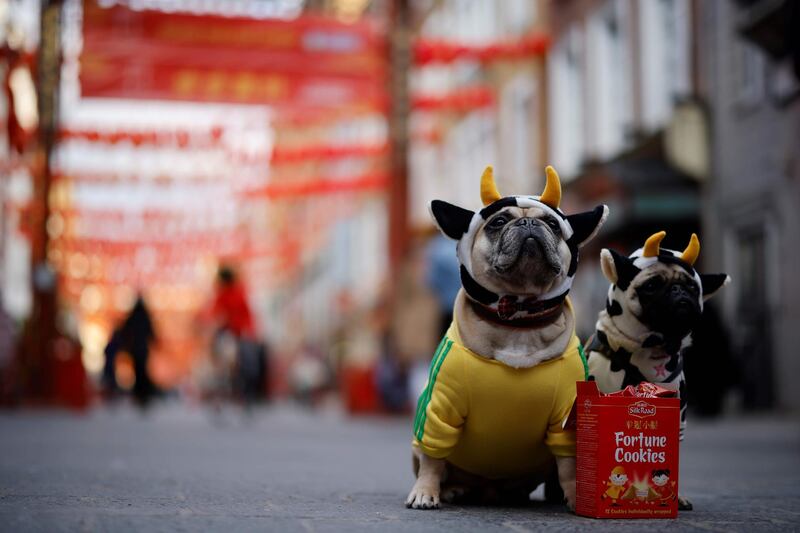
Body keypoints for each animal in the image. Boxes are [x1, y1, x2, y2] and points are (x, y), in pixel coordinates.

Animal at [406, 164, 608, 510]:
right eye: (498, 222)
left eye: (552, 224)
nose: (528, 222)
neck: (518, 318)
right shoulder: (439, 411)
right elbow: (434, 460)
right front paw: (425, 492)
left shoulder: (566, 417)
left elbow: (569, 465)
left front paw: (573, 494)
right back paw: (452, 490)